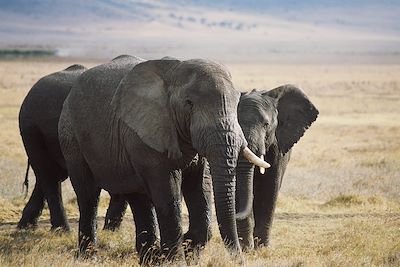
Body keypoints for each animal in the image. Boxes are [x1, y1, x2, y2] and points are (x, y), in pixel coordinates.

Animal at [57, 56, 268, 262]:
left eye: (236, 102)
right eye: (189, 103)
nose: (240, 260)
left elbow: (201, 188)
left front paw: (186, 250)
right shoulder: (150, 131)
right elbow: (168, 193)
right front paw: (176, 260)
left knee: (137, 198)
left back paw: (150, 259)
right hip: (71, 136)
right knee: (88, 196)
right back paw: (88, 257)